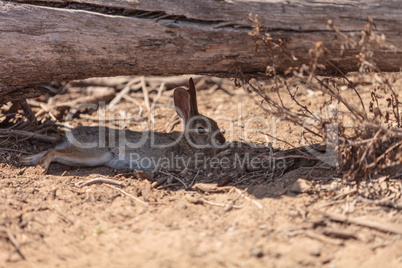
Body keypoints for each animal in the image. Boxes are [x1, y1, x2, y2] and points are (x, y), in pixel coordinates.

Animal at [20, 77, 226, 172]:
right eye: (201, 130)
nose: (222, 141)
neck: (187, 144)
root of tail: (72, 134)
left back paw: (29, 160)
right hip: (94, 153)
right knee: (53, 152)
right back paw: (42, 165)